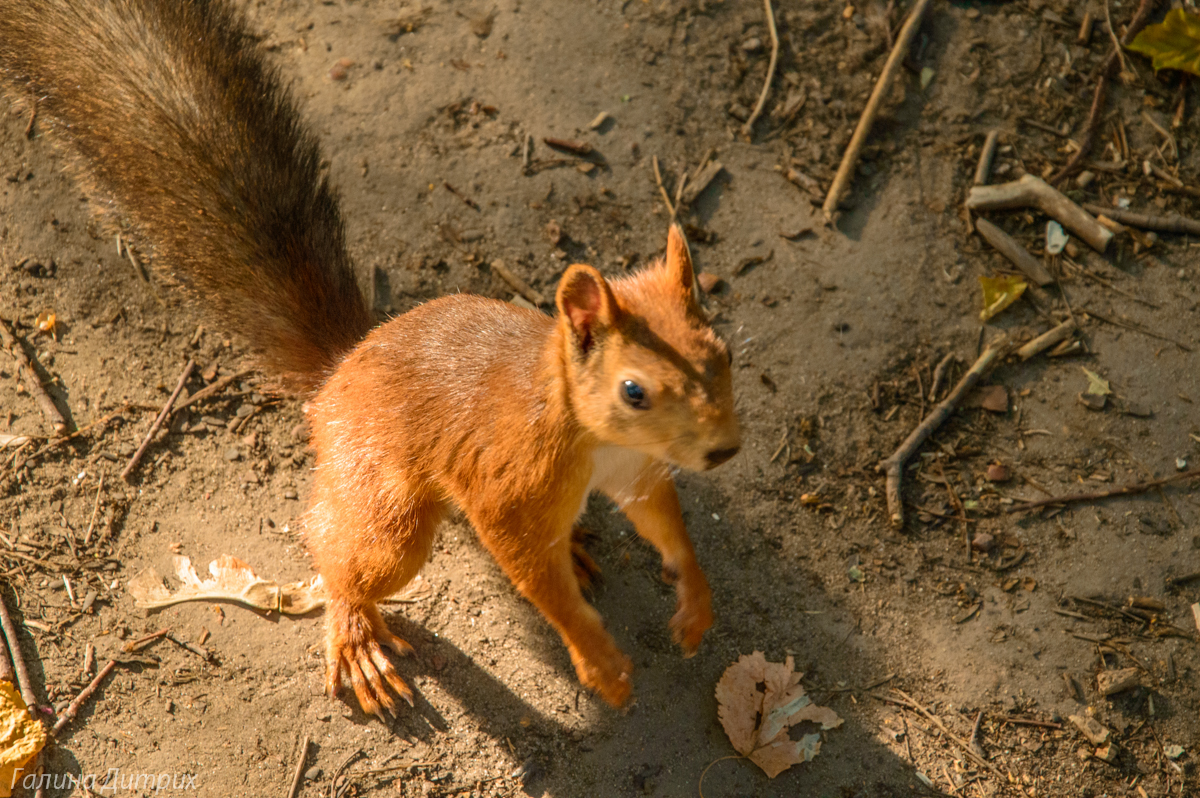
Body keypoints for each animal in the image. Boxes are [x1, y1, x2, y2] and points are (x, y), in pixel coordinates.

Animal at [0, 0, 734, 720]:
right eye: (634, 390)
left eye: (723, 352)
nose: (724, 450)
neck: (596, 437)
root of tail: (340, 370)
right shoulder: (513, 484)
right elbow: (533, 572)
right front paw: (600, 661)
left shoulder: (639, 471)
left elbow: (668, 526)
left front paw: (696, 604)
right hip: (388, 505)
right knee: (341, 556)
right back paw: (356, 636)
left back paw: (575, 549)